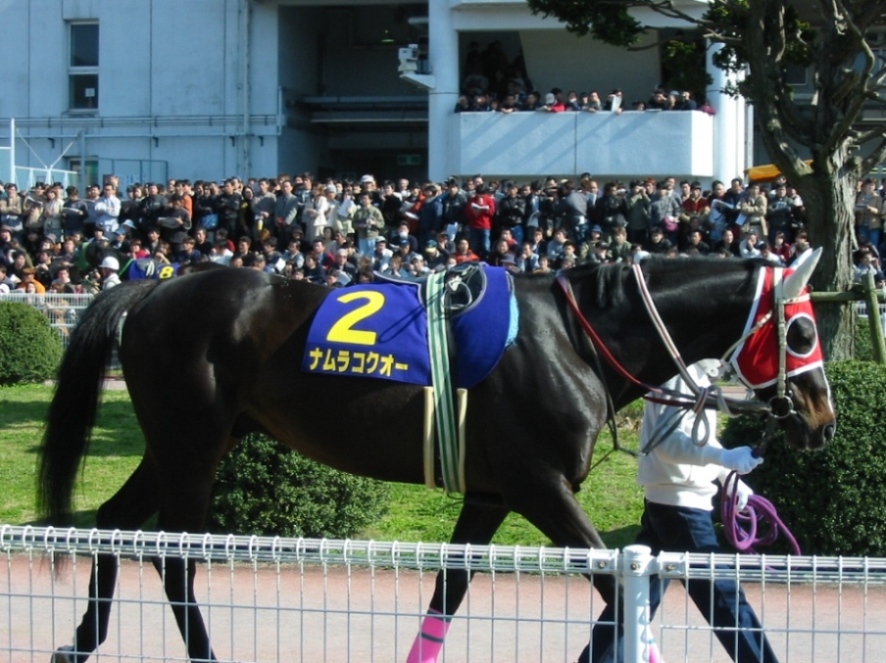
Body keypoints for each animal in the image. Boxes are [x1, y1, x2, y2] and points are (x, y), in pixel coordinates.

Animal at [38, 258, 836, 663]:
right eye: (800, 330)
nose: (823, 418)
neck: (575, 339)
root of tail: (155, 287)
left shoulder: (490, 495)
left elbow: (449, 591)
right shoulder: (539, 486)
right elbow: (618, 589)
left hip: (193, 439)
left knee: (111, 522)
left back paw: (78, 644)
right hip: (194, 443)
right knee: (172, 557)